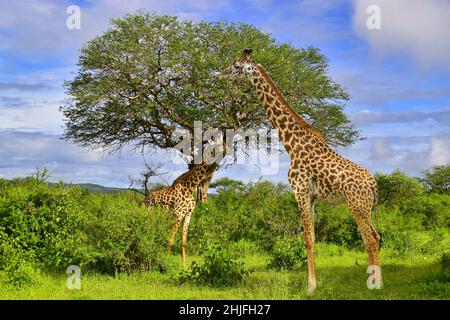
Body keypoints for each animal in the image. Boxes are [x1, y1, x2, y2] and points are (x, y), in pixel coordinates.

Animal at [220, 48, 382, 294]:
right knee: (376, 236)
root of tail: (374, 185)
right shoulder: (313, 197)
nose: (221, 73)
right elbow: (313, 237)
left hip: (357, 205)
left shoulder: (300, 191)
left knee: (370, 239)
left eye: (237, 66)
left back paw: (374, 286)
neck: (292, 145)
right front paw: (315, 284)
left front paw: (310, 287)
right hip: (366, 207)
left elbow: (307, 238)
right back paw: (377, 281)